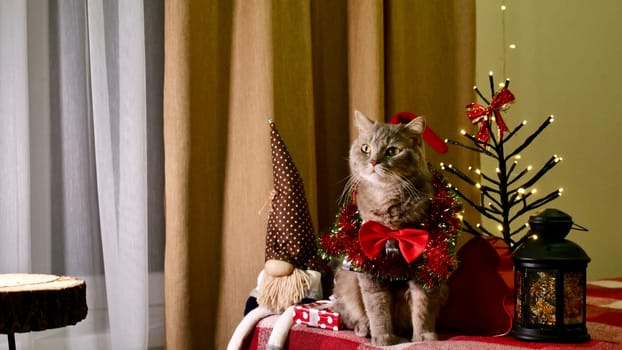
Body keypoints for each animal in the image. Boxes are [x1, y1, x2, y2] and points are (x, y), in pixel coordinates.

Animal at [332, 110, 448, 346]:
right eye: (366, 148)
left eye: (393, 151)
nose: (373, 161)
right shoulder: (368, 270)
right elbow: (377, 308)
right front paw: (383, 337)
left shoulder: (426, 268)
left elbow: (423, 307)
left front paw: (424, 337)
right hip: (347, 283)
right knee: (352, 315)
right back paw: (363, 329)